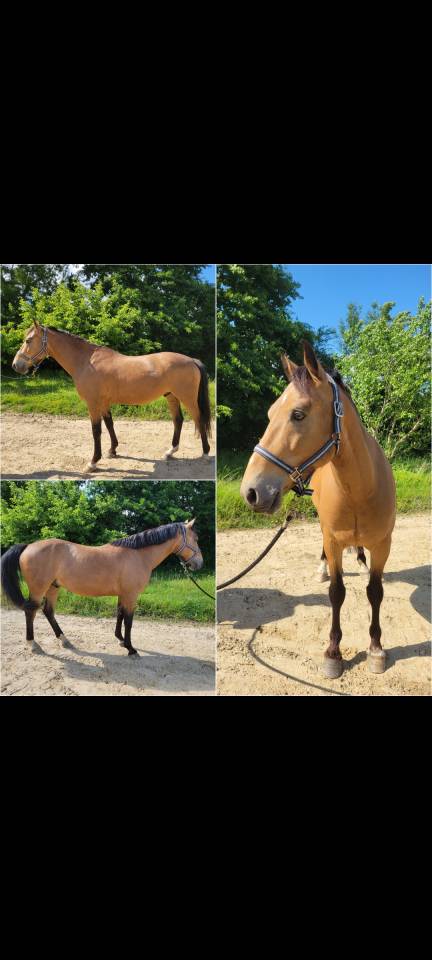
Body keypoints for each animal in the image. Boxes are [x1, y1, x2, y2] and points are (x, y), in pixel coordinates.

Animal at [1, 520, 203, 657]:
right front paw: (131, 648)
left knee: (48, 611)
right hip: (38, 589)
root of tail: (28, 546)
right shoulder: (131, 595)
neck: (138, 555)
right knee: (31, 613)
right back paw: (33, 644)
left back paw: (65, 640)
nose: (199, 564)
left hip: (53, 587)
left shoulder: (123, 594)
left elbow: (120, 615)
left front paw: (120, 640)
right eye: (196, 539)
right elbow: (129, 621)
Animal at [12, 321, 212, 470]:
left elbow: (96, 430)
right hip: (171, 396)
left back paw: (205, 453)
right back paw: (170, 451)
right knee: (178, 420)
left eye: (28, 340)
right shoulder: (104, 402)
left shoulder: (93, 403)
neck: (87, 362)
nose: (16, 365)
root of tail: (191, 360)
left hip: (187, 398)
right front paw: (113, 450)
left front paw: (93, 462)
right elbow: (109, 424)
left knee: (199, 419)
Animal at [240, 342, 396, 678]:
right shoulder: (333, 540)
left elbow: (375, 592)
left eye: (298, 414)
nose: (251, 492)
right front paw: (333, 653)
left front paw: (376, 648)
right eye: (270, 413)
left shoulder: (383, 544)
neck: (360, 489)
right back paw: (323, 568)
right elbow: (337, 593)